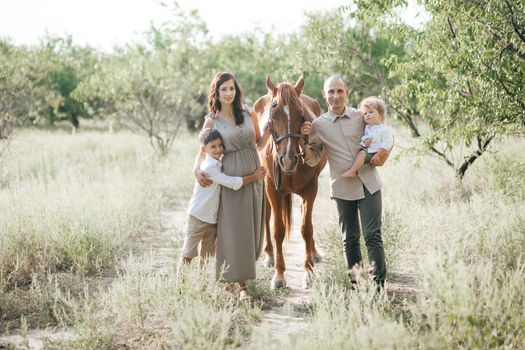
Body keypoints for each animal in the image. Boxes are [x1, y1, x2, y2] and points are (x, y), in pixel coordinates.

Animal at [253, 75, 324, 288]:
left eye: (301, 115)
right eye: (272, 115)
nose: (287, 159)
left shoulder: (311, 189)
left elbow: (306, 229)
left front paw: (308, 272)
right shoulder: (272, 188)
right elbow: (278, 230)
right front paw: (279, 275)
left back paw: (314, 253)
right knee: (267, 216)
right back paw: (269, 256)